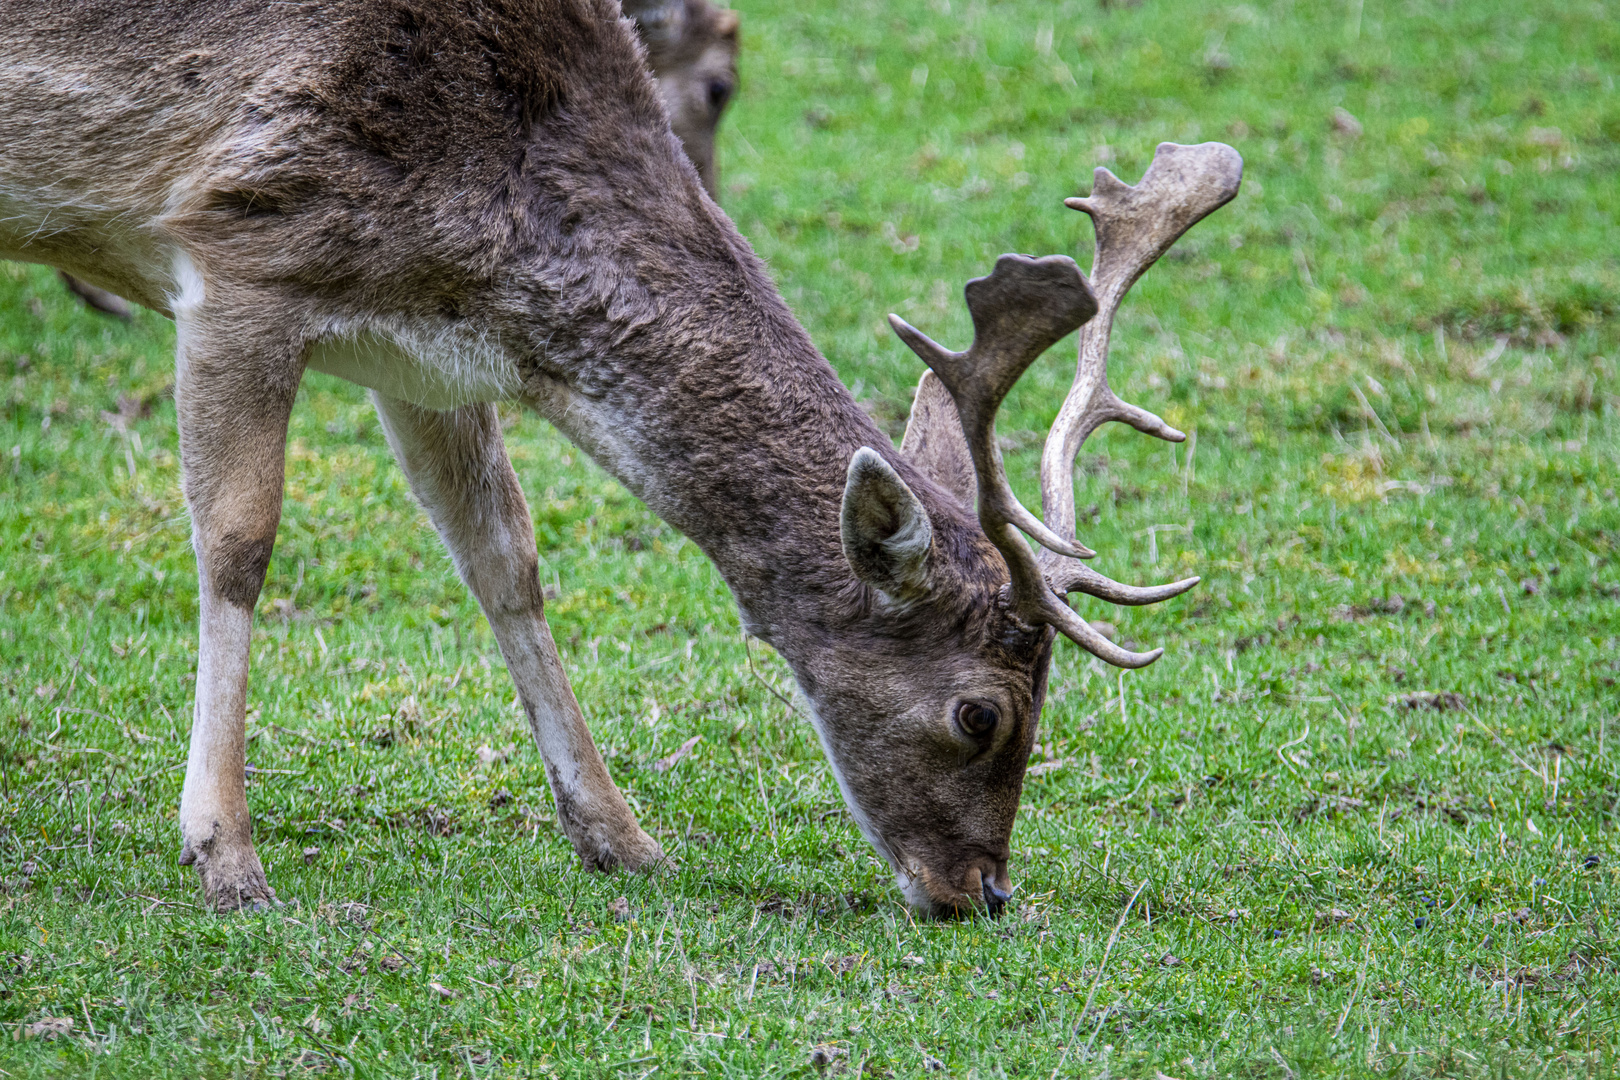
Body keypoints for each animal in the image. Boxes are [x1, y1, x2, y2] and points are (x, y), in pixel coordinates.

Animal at [0, 0, 1237, 913]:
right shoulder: (237, 247)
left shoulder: (420, 351)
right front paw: (226, 855)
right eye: (981, 714)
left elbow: (503, 558)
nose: (982, 892)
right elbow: (238, 542)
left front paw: (622, 838)